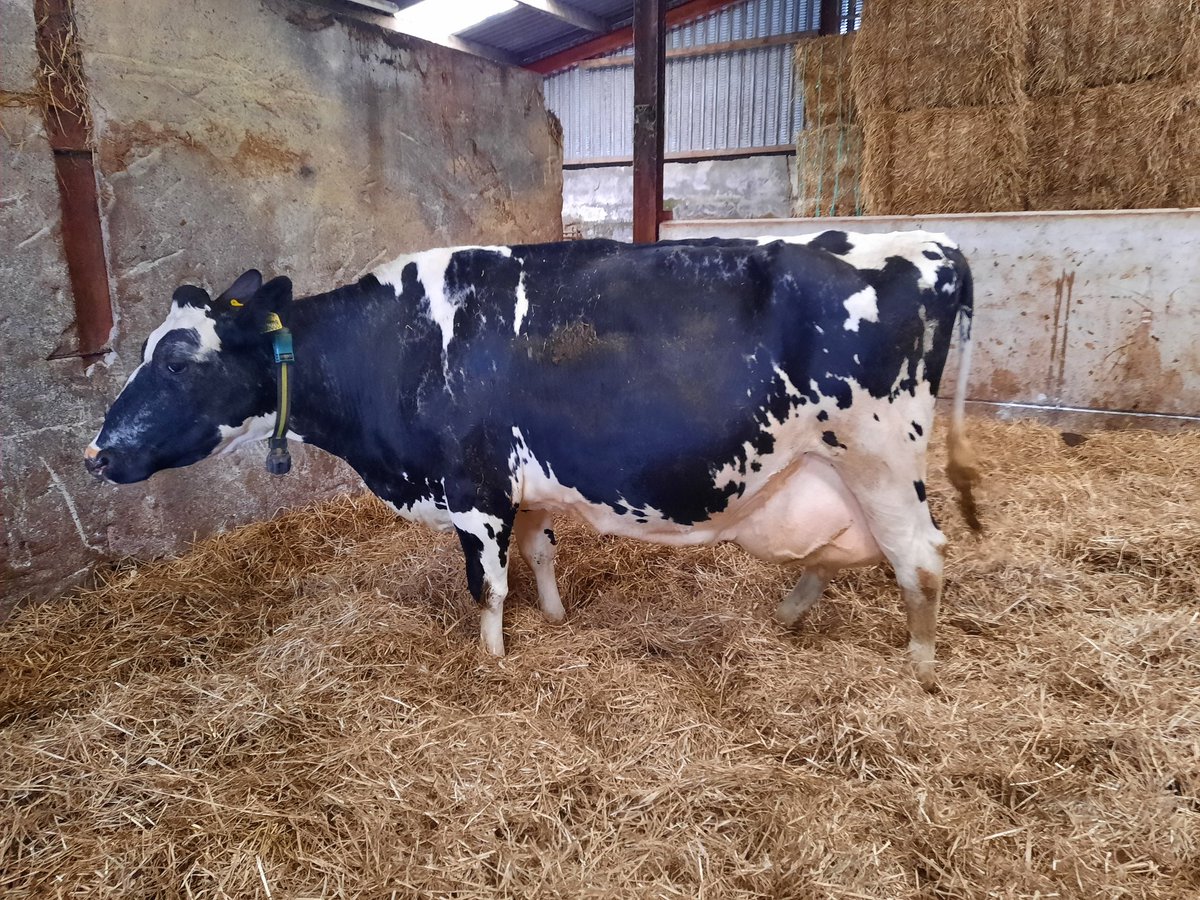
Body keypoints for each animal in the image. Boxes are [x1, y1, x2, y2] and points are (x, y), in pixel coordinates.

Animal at [84, 231, 981, 690]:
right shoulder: (524, 483)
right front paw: (553, 622)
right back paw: (795, 612)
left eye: (178, 362)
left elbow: (487, 585)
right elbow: (541, 552)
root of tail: (928, 241)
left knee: (922, 557)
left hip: (879, 452)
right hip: (828, 466)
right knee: (847, 547)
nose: (97, 453)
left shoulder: (473, 488)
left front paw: (492, 662)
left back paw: (921, 669)